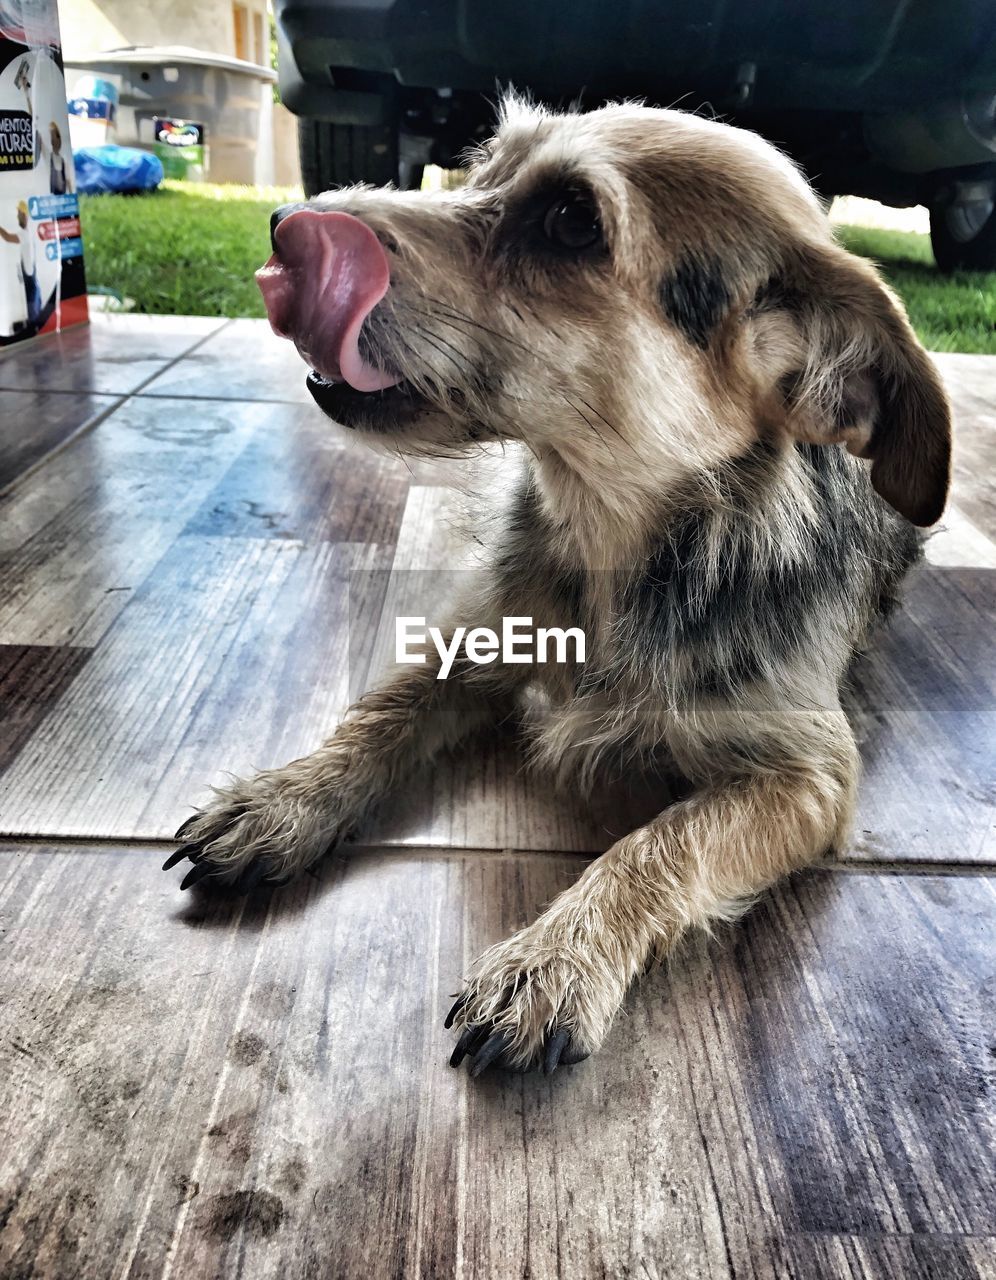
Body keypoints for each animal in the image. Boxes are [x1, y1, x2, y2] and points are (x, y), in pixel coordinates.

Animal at [163, 97, 947, 1080]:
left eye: (572, 220)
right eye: (481, 165)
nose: (284, 226)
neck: (615, 540)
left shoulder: (808, 775)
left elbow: (661, 841)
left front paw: (556, 958)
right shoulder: (478, 637)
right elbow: (381, 709)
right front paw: (284, 799)